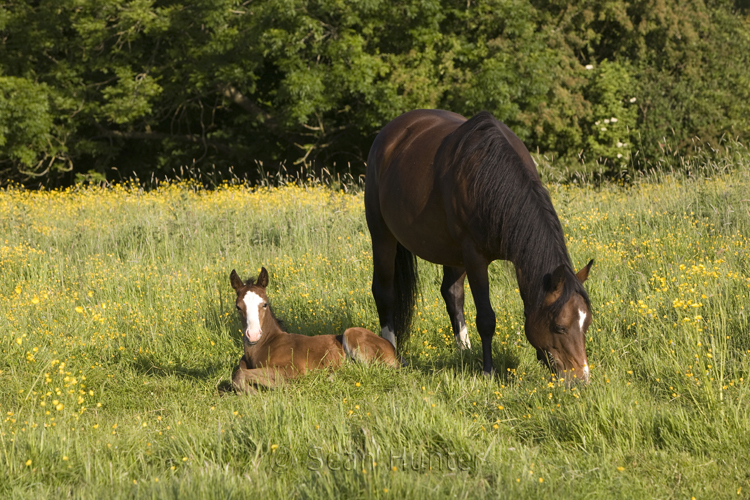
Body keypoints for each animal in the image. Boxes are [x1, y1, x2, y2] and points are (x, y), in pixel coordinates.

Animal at [231, 268, 400, 392]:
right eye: (238, 307)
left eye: (264, 304)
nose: (253, 335)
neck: (267, 344)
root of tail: (393, 349)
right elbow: (236, 375)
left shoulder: (292, 370)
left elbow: (240, 374)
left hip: (351, 334)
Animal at [368, 110, 596, 382]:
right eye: (560, 327)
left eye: (586, 323)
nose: (581, 379)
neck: (491, 180)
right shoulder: (474, 257)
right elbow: (486, 318)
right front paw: (488, 370)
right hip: (382, 235)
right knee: (384, 293)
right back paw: (390, 349)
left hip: (451, 252)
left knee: (452, 294)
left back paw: (464, 350)